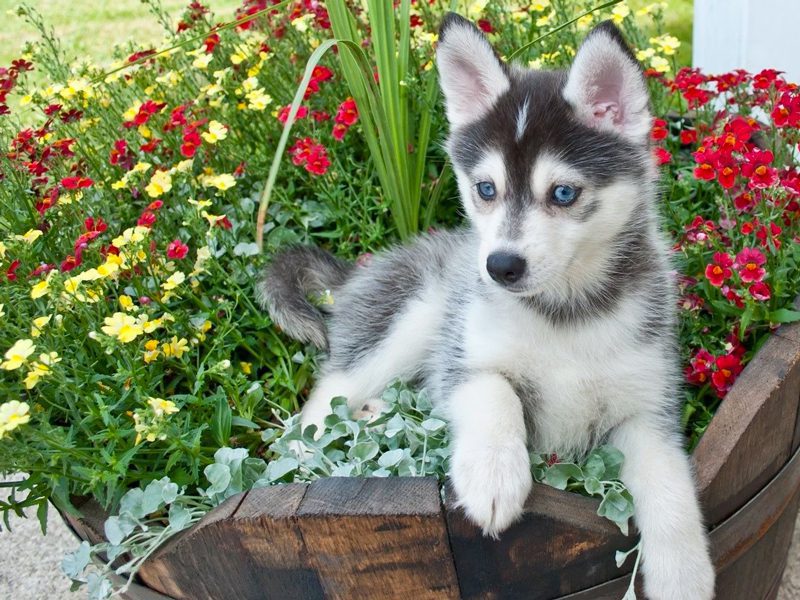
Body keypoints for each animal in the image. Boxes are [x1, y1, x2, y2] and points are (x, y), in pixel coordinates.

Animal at [260, 14, 716, 600]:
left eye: (563, 193)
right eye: (485, 189)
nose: (500, 267)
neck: (564, 313)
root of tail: (360, 269)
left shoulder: (646, 408)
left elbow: (669, 482)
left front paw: (684, 573)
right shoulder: (461, 358)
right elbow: (493, 391)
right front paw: (493, 476)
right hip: (416, 313)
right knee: (325, 397)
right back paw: (306, 454)